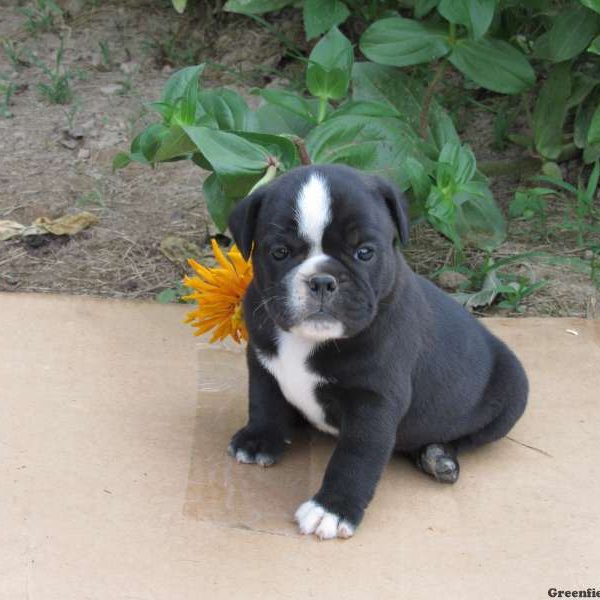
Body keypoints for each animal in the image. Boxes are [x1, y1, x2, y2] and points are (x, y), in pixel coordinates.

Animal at [227, 163, 528, 540]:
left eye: (365, 252)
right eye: (279, 252)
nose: (322, 280)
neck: (308, 341)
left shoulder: (373, 403)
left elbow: (355, 458)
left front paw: (332, 509)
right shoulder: (263, 362)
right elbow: (263, 402)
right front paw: (258, 440)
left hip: (513, 394)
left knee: (465, 437)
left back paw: (439, 457)